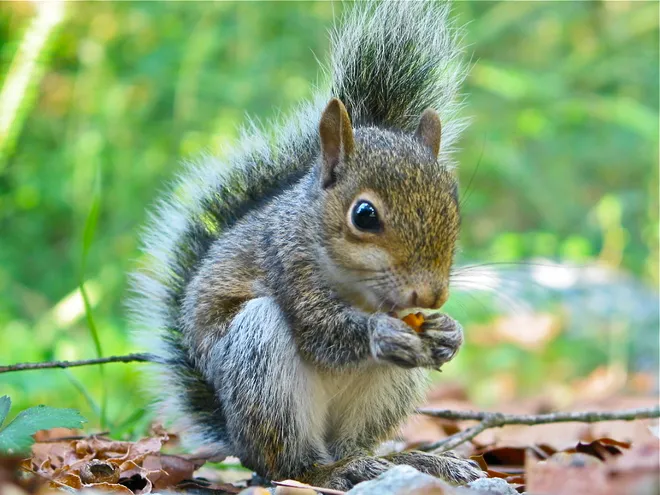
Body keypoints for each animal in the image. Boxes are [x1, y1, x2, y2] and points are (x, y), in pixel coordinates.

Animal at [130, 0, 485, 490]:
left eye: (453, 203)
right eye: (364, 215)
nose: (432, 296)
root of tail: (239, 442)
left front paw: (449, 331)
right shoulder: (288, 263)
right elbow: (321, 332)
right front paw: (379, 333)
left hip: (388, 392)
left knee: (356, 444)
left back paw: (411, 461)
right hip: (259, 362)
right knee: (292, 465)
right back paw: (334, 471)